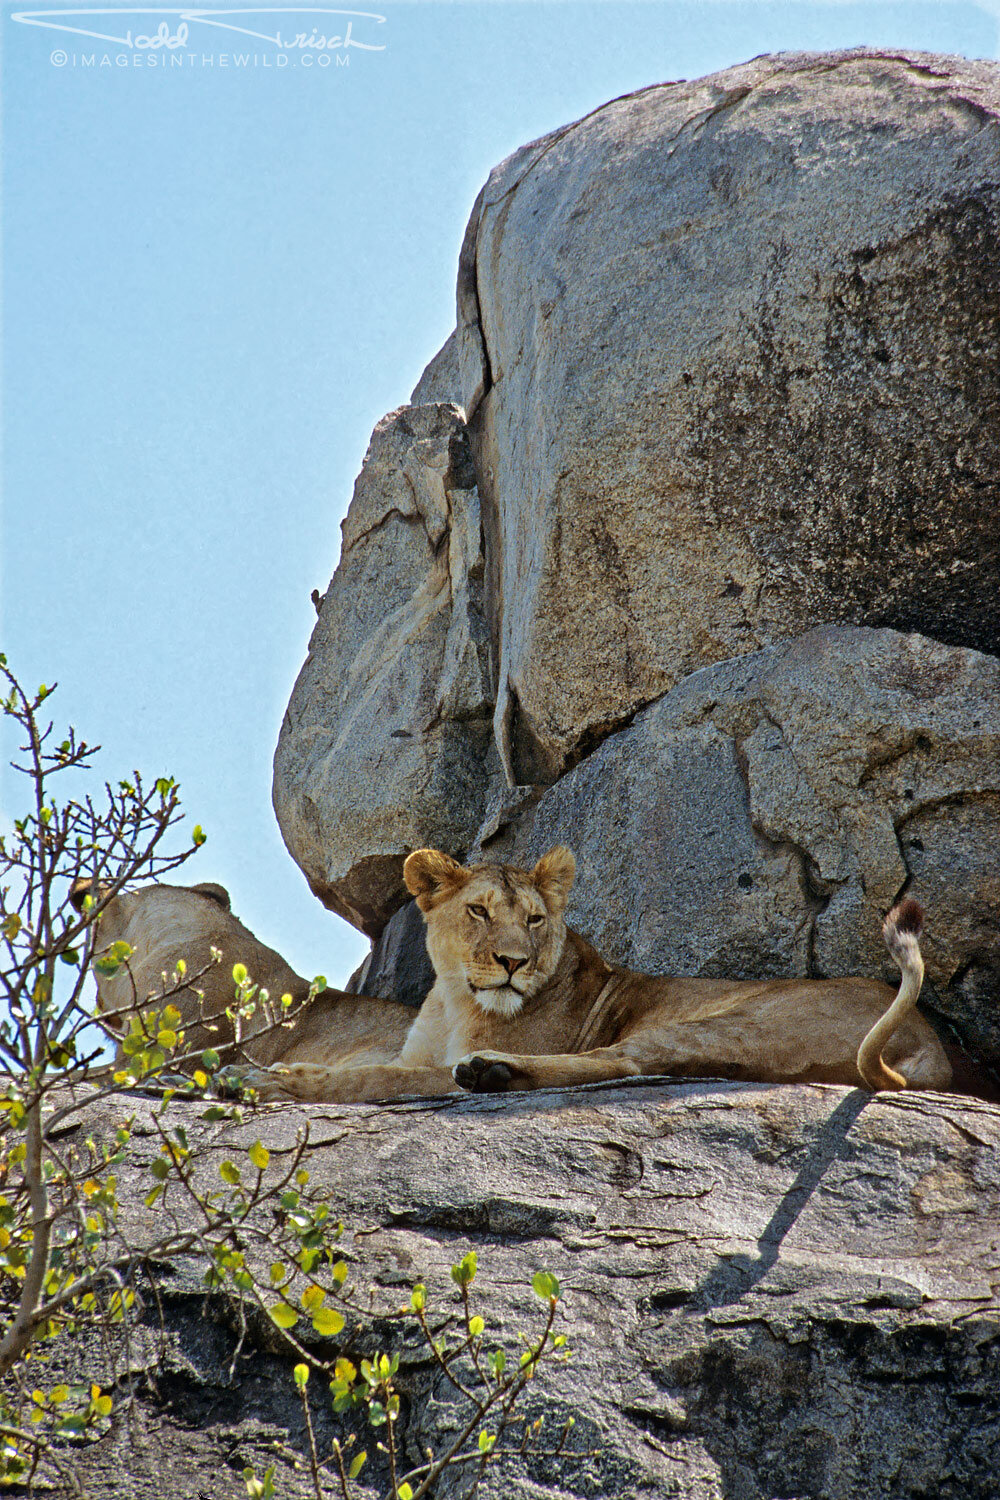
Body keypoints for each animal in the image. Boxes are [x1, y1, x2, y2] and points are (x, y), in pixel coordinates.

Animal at [238, 852, 965, 1110]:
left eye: (534, 919)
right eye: (478, 911)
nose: (513, 962)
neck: (453, 999)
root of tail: (932, 1043)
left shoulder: (426, 1069)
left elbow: (374, 1077)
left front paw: (278, 1081)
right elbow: (385, 1066)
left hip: (725, 1023)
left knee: (620, 1064)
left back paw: (490, 1071)